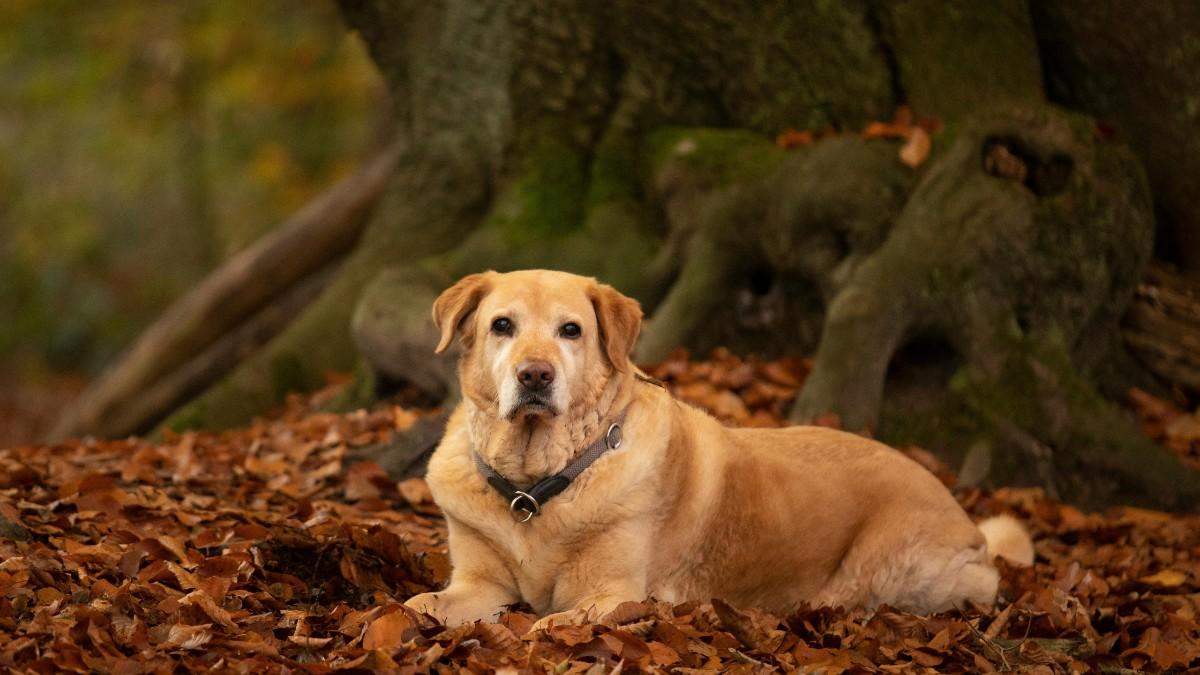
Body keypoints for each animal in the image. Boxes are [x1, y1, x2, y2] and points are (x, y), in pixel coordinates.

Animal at [405, 267, 1032, 624]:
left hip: (892, 572)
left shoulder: (612, 594)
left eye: (571, 331)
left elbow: (546, 624)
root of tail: (963, 515)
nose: (535, 375)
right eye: (502, 326)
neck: (535, 485)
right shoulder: (478, 582)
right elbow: (417, 606)